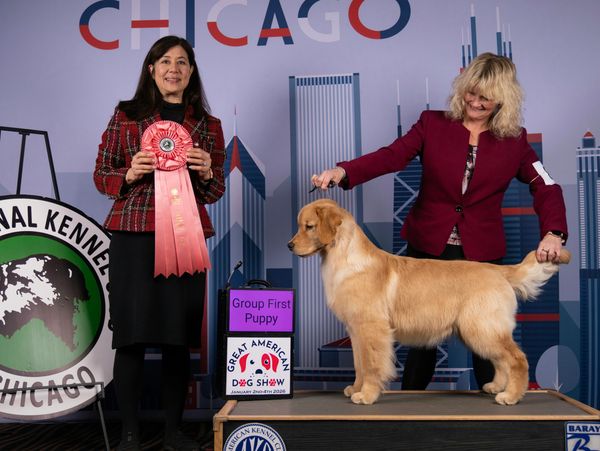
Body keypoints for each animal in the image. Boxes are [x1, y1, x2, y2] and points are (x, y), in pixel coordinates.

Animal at [288, 199, 570, 405]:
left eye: (309, 226)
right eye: (301, 225)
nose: (289, 246)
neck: (344, 256)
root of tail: (498, 270)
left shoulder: (372, 329)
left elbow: (371, 366)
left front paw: (367, 395)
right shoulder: (356, 331)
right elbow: (360, 364)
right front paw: (355, 388)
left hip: (482, 328)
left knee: (517, 358)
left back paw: (510, 396)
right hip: (478, 330)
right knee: (501, 361)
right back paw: (495, 387)